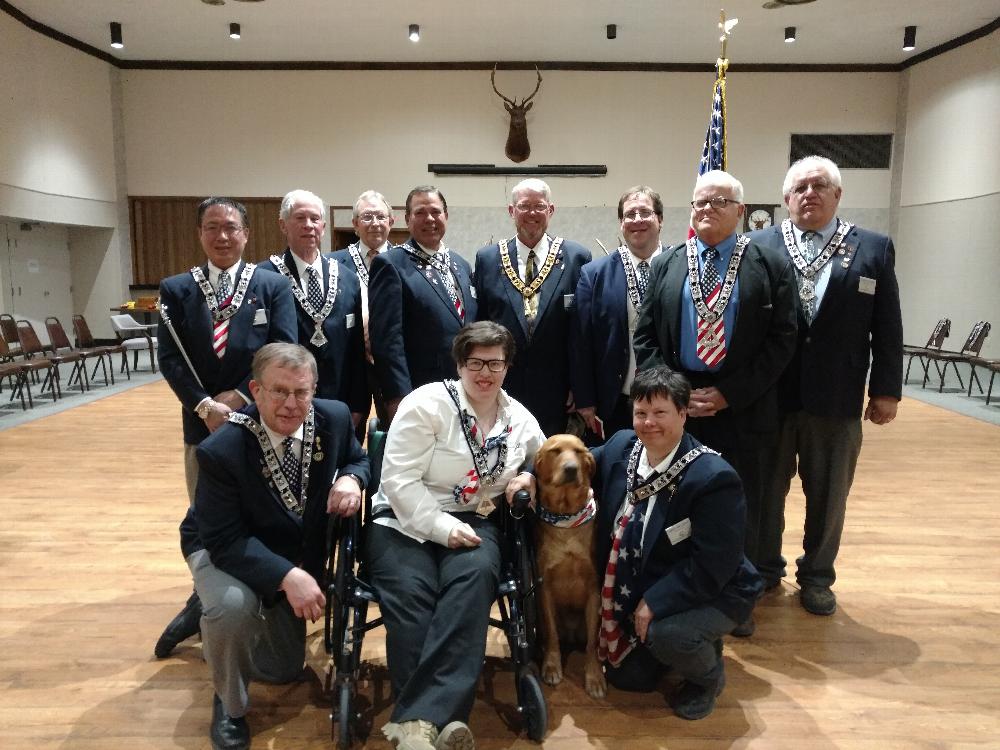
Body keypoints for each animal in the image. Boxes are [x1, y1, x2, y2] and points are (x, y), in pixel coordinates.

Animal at [536, 434, 604, 700]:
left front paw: (594, 676)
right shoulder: (544, 587)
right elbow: (552, 634)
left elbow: (593, 643)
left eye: (578, 452)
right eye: (555, 451)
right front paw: (552, 665)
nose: (571, 469)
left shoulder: (595, 589)